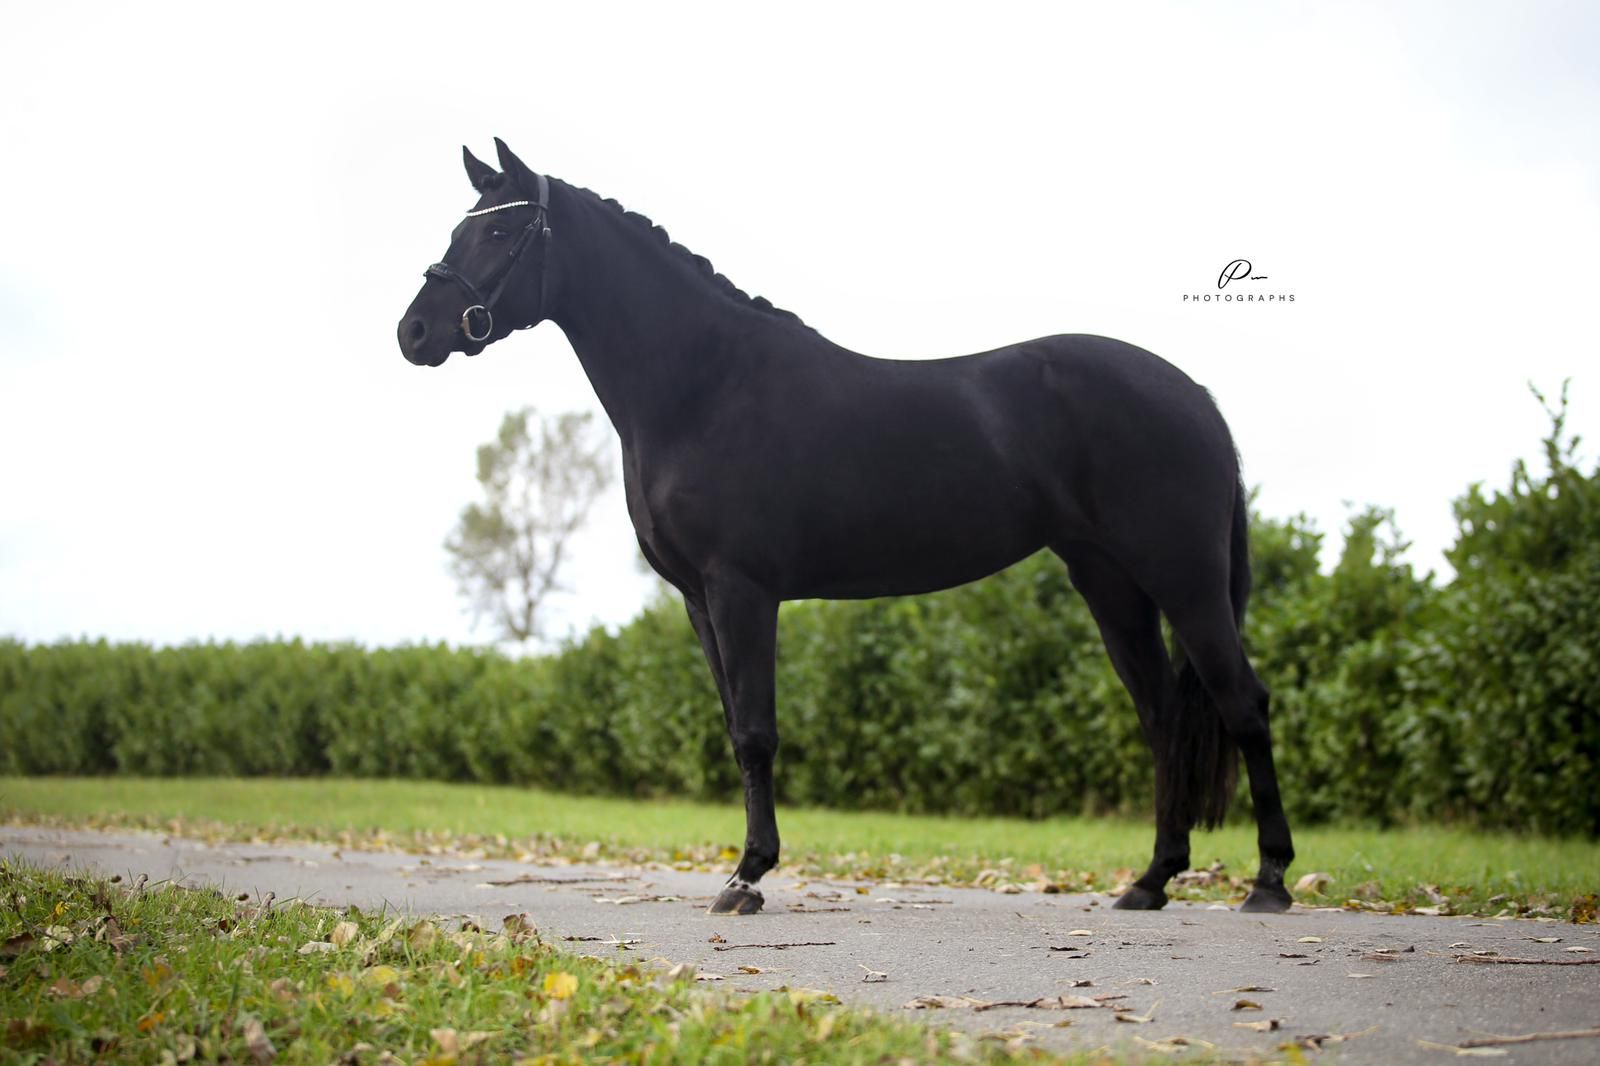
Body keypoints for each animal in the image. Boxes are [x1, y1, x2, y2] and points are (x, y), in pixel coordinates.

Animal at [397, 138, 1296, 916]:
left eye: (501, 229)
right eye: (460, 226)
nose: (414, 332)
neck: (703, 386)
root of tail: (1195, 396)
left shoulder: (742, 591)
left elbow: (757, 732)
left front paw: (748, 877)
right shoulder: (698, 600)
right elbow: (734, 728)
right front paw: (745, 867)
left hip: (1184, 580)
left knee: (1243, 703)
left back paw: (1269, 882)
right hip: (1110, 583)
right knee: (1162, 717)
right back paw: (1151, 880)